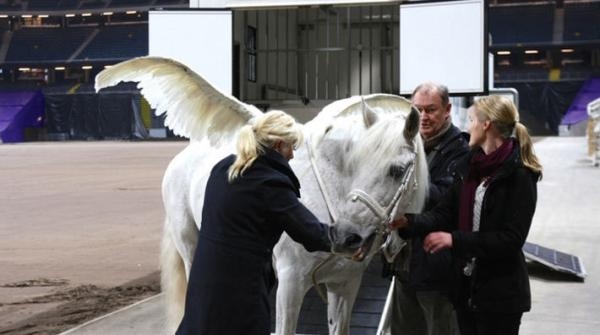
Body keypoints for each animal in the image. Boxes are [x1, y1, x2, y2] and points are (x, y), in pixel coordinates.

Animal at [96, 56, 428, 334]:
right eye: (357, 163)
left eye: (398, 170)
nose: (348, 236)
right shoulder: (291, 284)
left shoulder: (344, 286)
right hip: (190, 247)